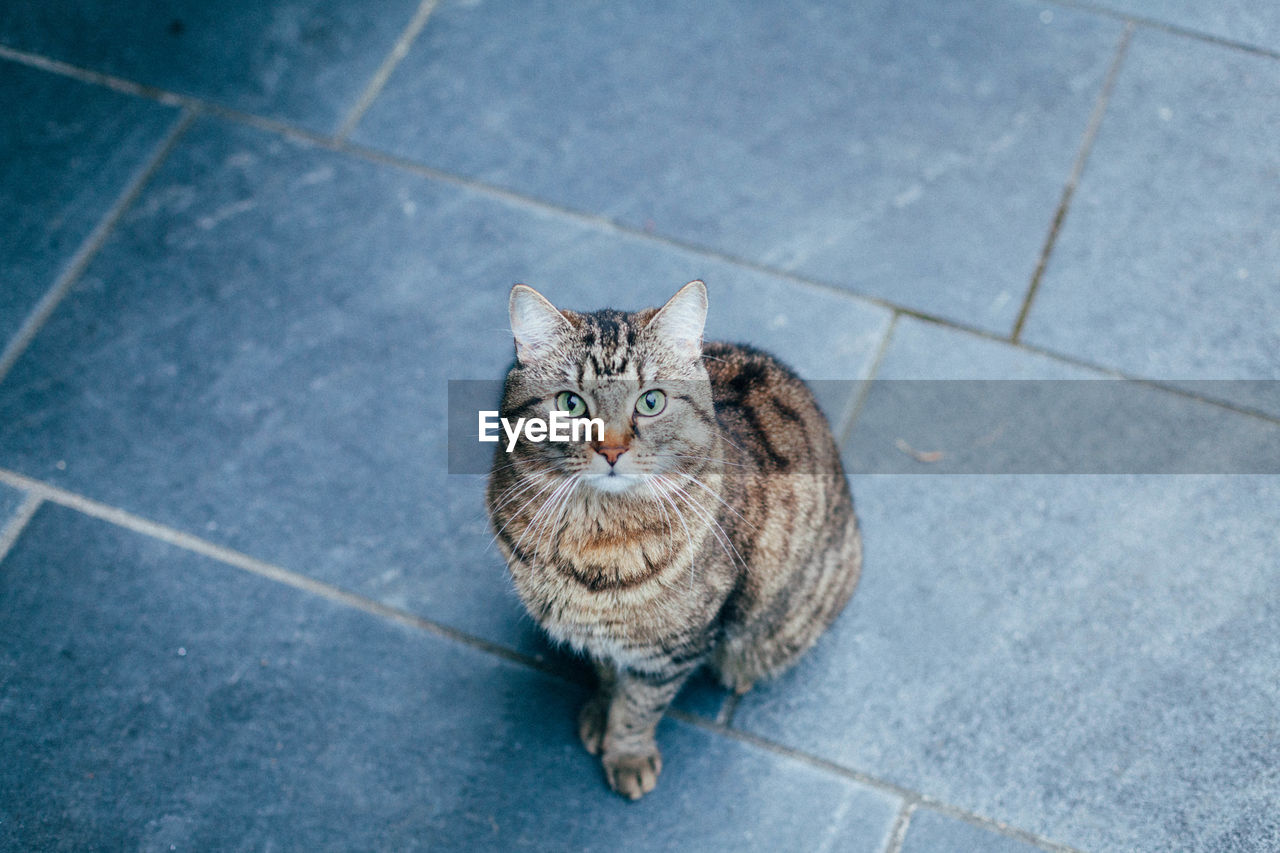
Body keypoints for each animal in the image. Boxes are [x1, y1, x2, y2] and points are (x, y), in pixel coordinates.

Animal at [483, 279, 865, 799]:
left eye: (651, 402)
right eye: (570, 403)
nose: (611, 449)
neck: (597, 538)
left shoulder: (671, 650)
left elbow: (639, 708)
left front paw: (626, 754)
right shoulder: (603, 637)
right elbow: (609, 677)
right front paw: (601, 714)